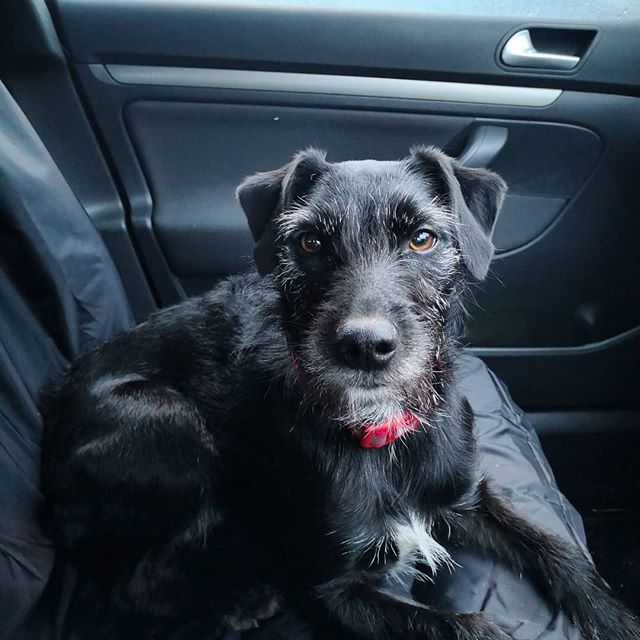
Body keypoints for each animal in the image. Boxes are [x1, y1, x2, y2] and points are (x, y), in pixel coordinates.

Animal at [42, 146, 636, 640]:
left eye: (422, 237)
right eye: (310, 242)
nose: (365, 346)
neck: (383, 429)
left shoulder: (464, 495)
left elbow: (555, 548)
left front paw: (613, 615)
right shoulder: (329, 590)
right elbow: (458, 626)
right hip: (169, 419)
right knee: (132, 586)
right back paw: (237, 603)